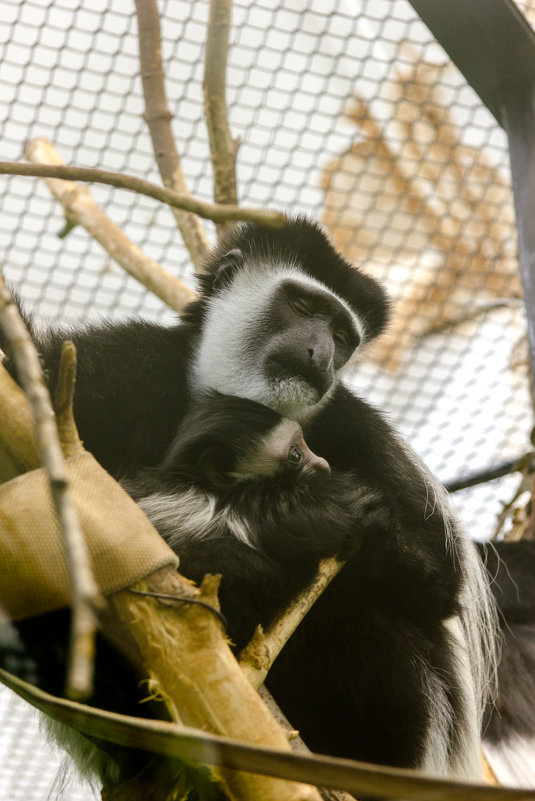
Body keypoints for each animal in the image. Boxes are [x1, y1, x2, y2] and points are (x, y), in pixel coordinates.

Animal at [0, 217, 498, 780]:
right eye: (303, 307)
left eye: (343, 336)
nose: (321, 354)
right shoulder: (115, 363)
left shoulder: (358, 429)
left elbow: (435, 581)